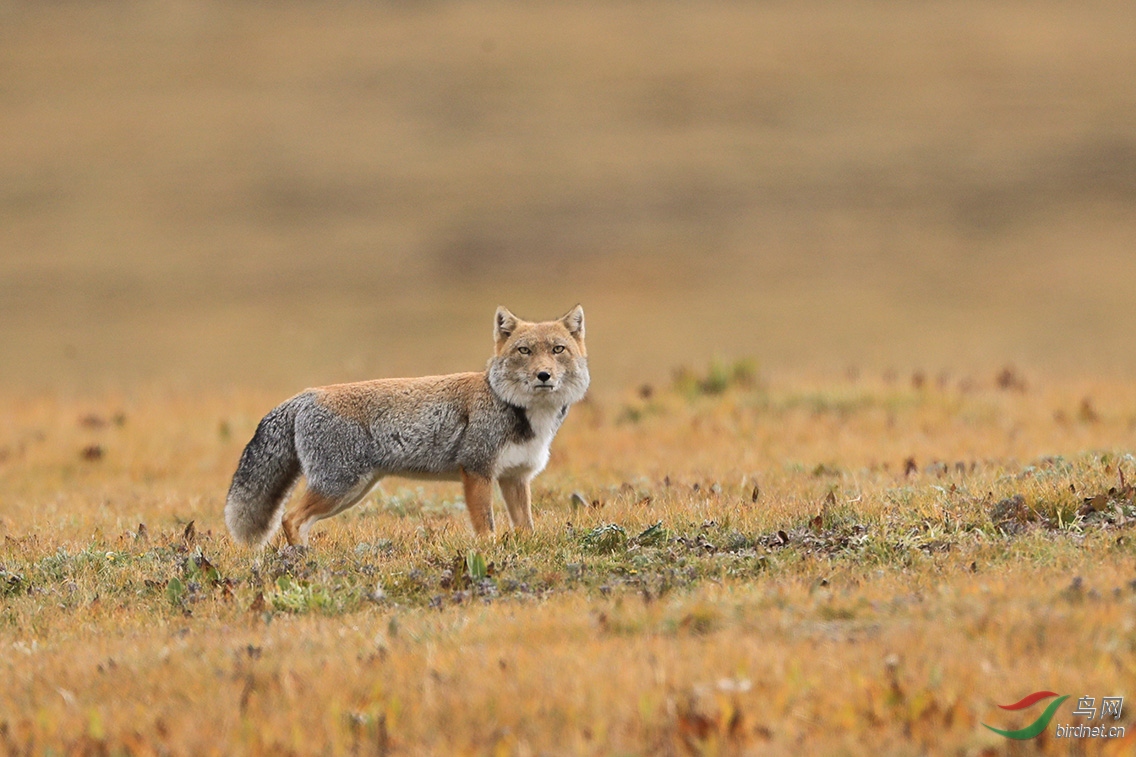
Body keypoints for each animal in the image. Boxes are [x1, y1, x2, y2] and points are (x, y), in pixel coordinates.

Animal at [226, 304, 590, 545]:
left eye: (557, 350)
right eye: (524, 351)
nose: (543, 375)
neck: (522, 412)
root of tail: (307, 394)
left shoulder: (516, 478)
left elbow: (525, 528)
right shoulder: (476, 471)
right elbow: (486, 528)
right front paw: (489, 555)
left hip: (352, 491)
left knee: (297, 521)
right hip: (338, 487)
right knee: (290, 518)